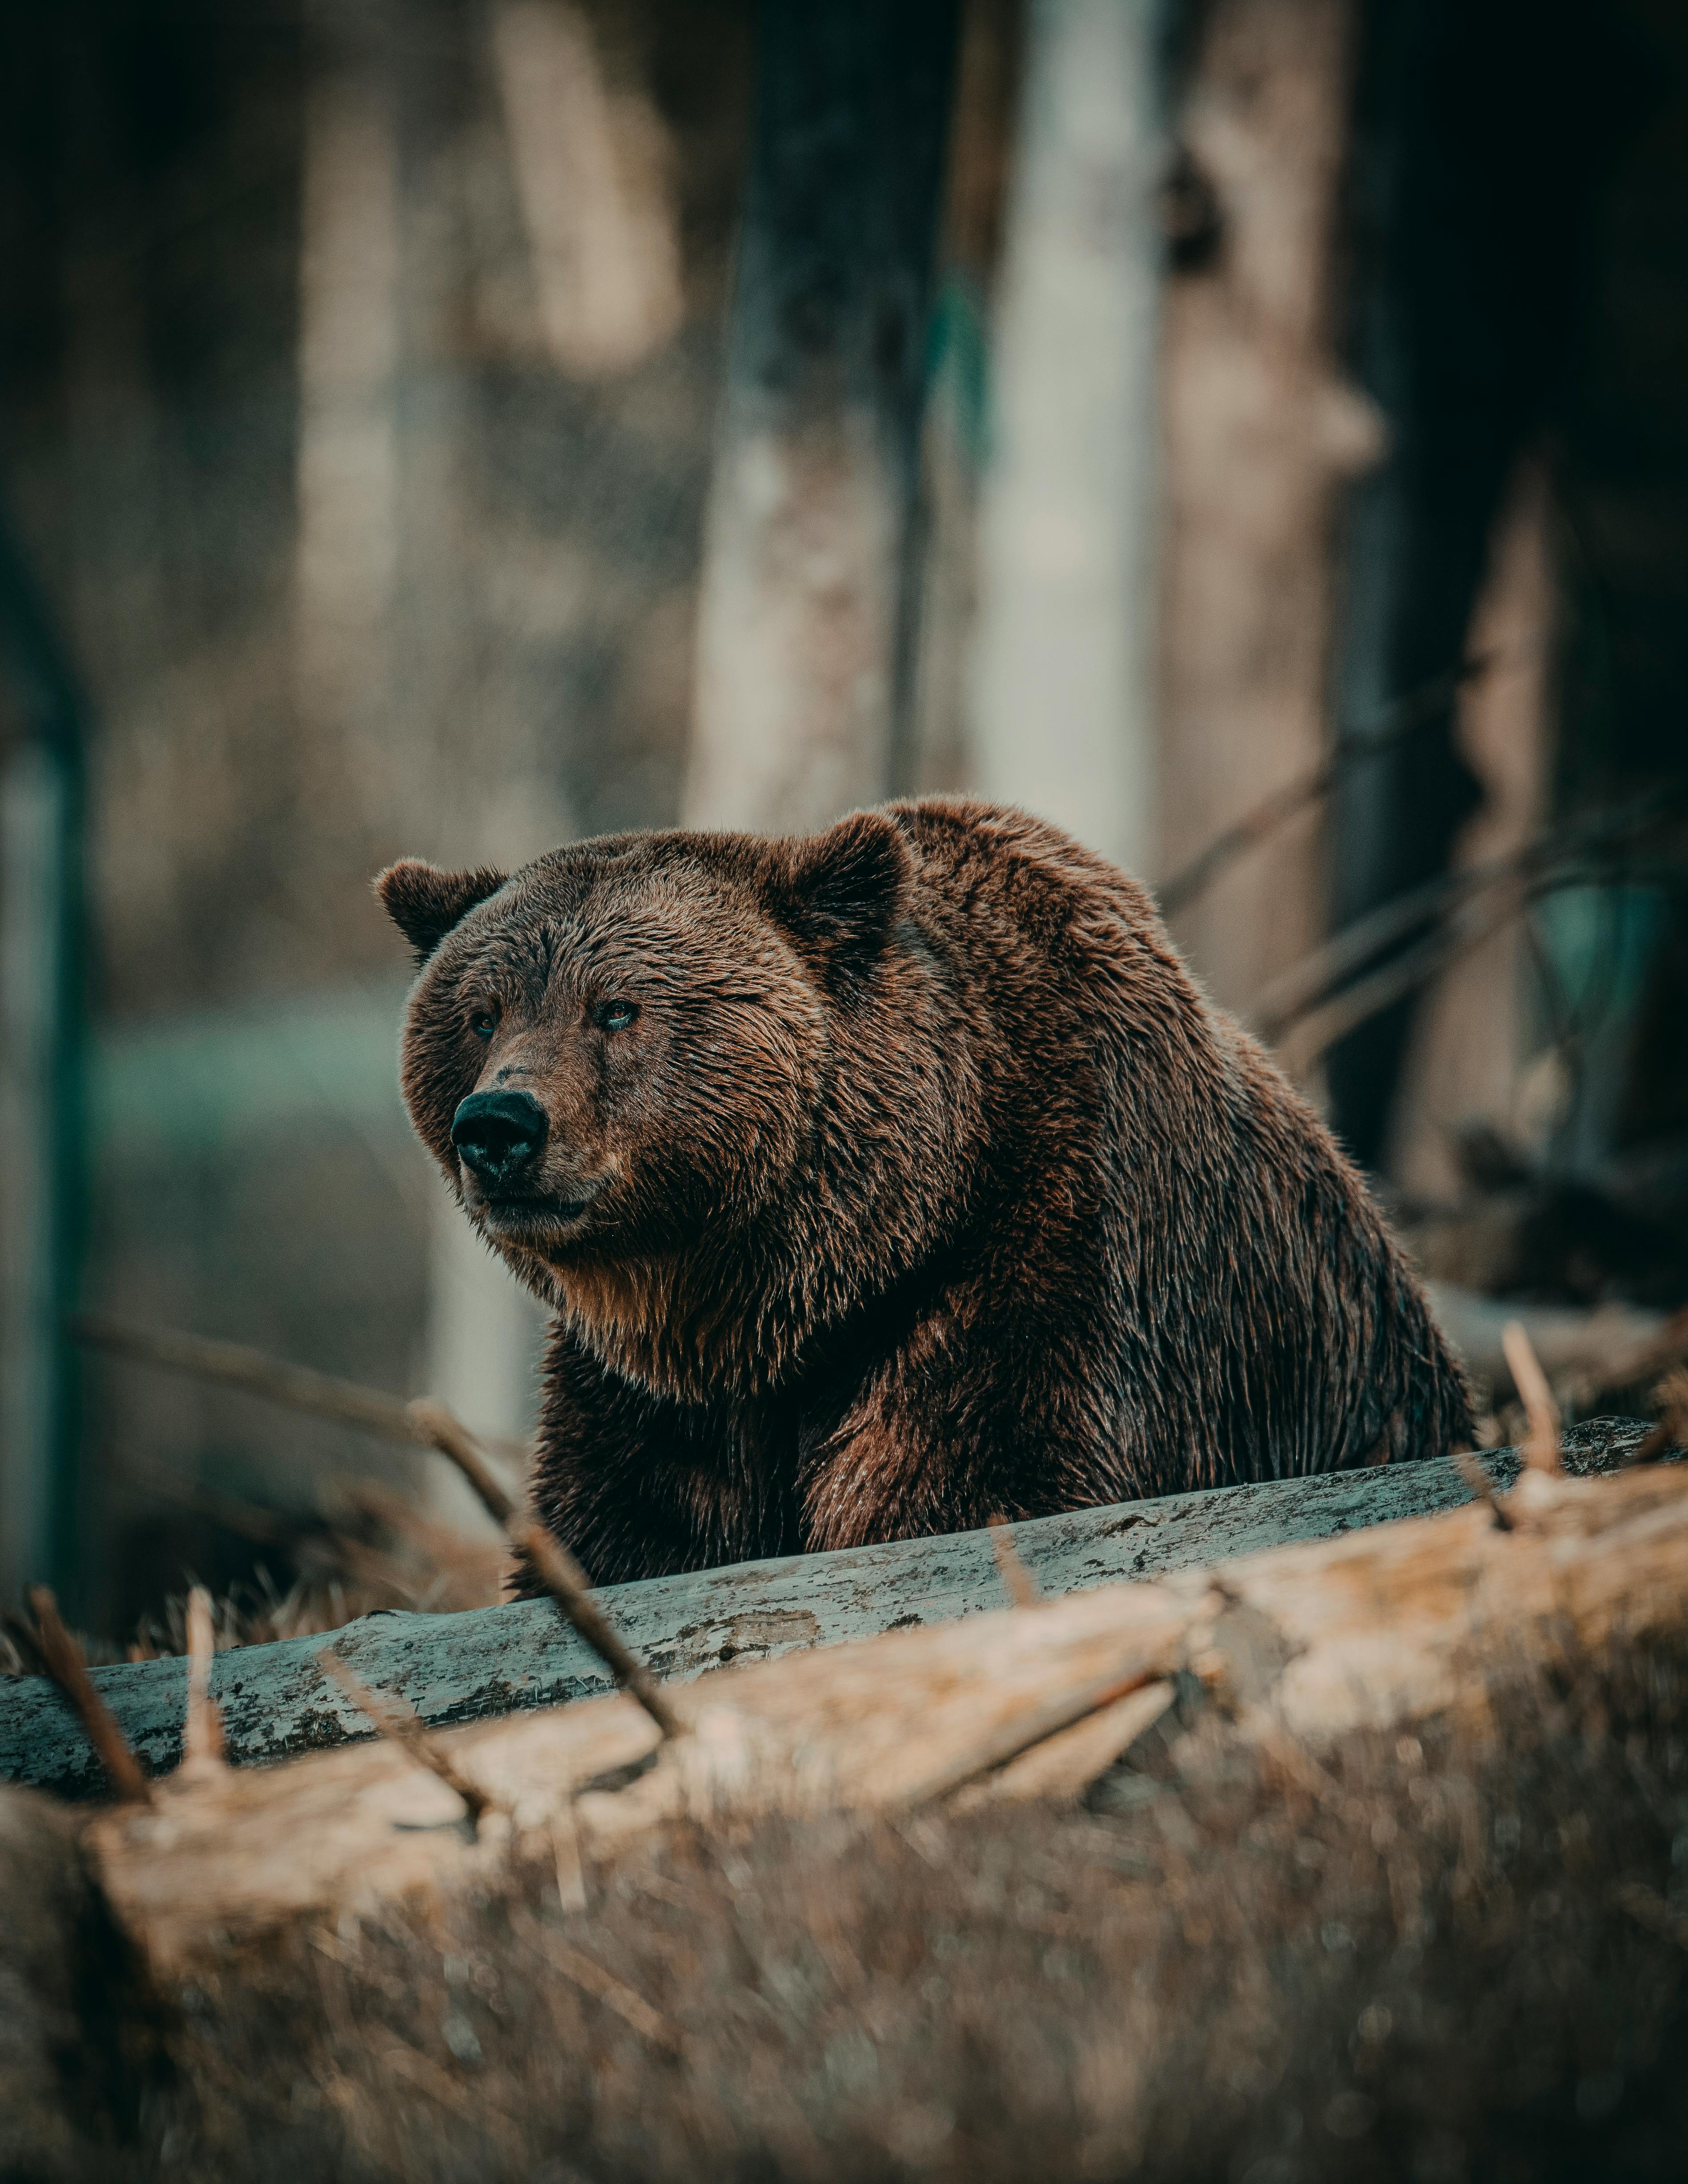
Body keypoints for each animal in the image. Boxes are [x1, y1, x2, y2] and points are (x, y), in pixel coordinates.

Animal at [375, 795, 1467, 1581]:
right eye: (480, 1012)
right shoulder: (656, 1398)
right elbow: (622, 1532)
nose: (499, 1126)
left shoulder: (1049, 1258)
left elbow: (972, 1482)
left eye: (617, 1008)